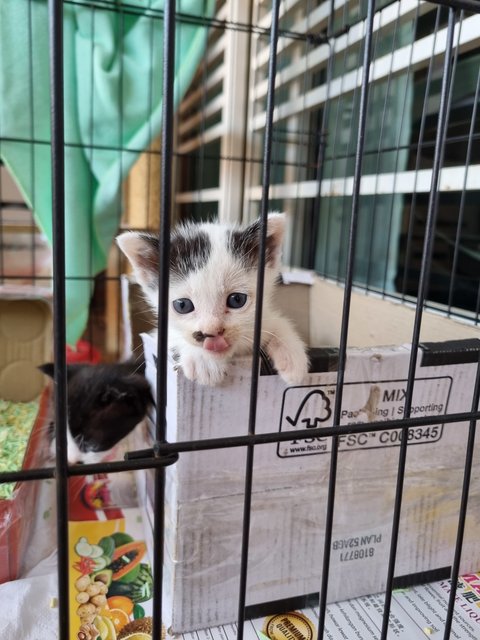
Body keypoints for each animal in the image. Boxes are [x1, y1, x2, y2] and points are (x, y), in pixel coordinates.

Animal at [116, 214, 308, 384]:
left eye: (237, 300)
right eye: (182, 305)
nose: (212, 332)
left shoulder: (264, 317)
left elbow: (277, 323)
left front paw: (292, 358)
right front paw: (203, 361)